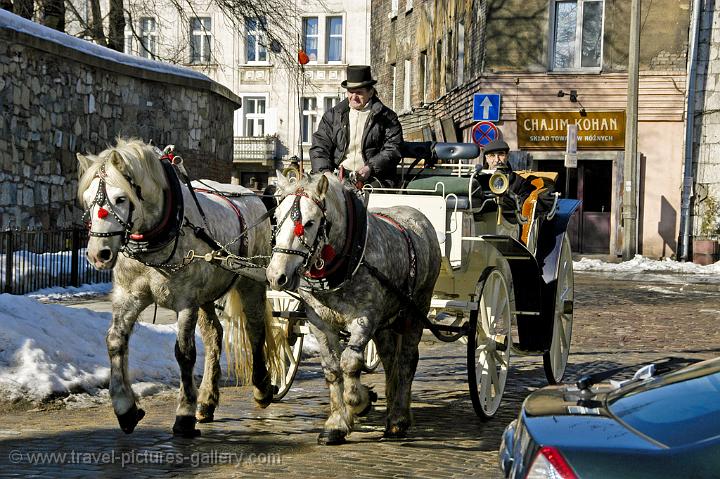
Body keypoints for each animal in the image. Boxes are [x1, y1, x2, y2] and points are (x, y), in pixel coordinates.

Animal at [77, 138, 280, 438]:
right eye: (88, 200)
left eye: (121, 199)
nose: (97, 254)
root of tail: (252, 194)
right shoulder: (128, 297)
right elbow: (115, 341)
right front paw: (125, 409)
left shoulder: (186, 302)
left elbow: (184, 353)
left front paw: (184, 415)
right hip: (207, 293)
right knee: (214, 335)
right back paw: (207, 400)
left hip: (250, 280)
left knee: (255, 329)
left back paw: (261, 388)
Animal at [268, 173, 442, 446]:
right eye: (276, 218)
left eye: (309, 223)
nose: (277, 276)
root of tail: (417, 214)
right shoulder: (319, 321)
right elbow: (331, 368)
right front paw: (336, 423)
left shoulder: (365, 317)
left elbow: (350, 362)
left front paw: (360, 402)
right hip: (387, 321)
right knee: (390, 359)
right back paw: (392, 407)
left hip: (417, 308)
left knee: (406, 360)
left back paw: (398, 418)